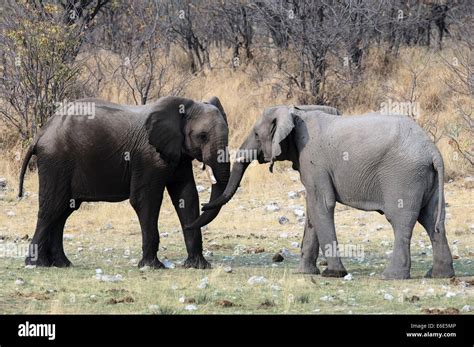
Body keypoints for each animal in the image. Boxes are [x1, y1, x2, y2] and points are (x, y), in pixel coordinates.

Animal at [19, 96, 231, 270]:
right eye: (202, 136)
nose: (206, 206)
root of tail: (40, 134)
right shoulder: (148, 157)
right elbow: (146, 200)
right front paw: (152, 266)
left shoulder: (178, 154)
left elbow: (187, 197)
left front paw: (199, 266)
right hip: (56, 161)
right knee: (52, 208)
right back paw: (36, 263)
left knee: (63, 211)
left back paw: (61, 264)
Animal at [188, 106, 456, 280]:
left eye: (255, 134)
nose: (202, 207)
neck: (297, 112)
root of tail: (433, 151)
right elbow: (312, 210)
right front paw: (305, 273)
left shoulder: (314, 160)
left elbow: (321, 204)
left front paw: (333, 274)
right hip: (425, 177)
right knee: (432, 221)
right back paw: (439, 275)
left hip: (403, 175)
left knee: (401, 221)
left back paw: (391, 277)